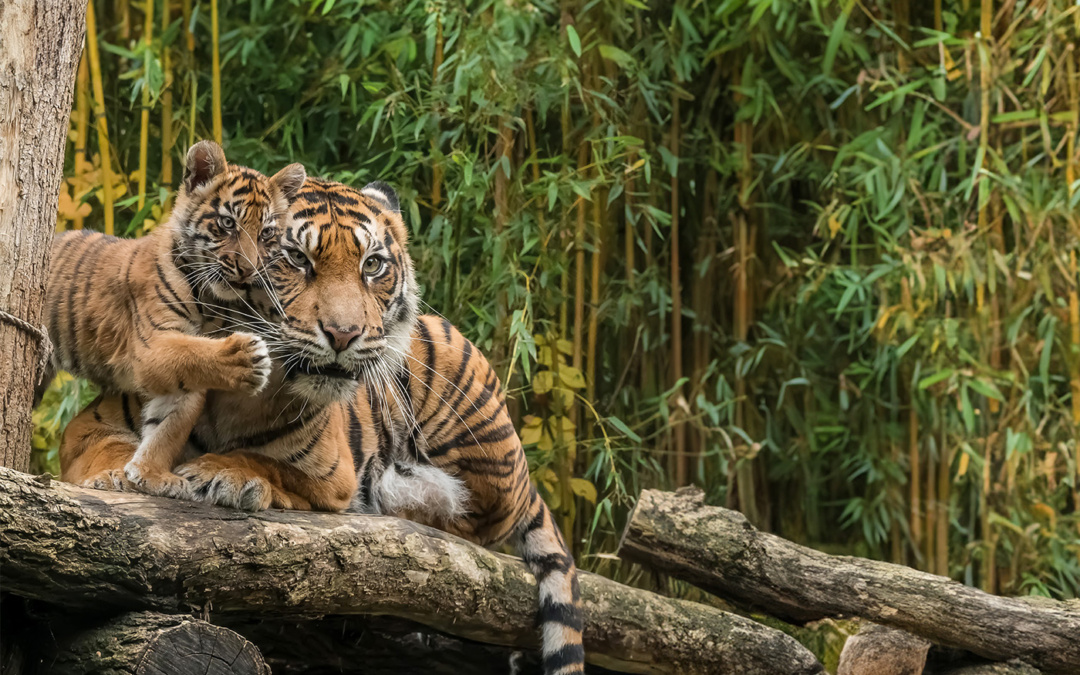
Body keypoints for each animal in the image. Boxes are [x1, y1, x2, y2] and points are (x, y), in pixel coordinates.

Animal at [60, 179, 587, 673]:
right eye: (295, 258)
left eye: (372, 265)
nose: (343, 334)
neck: (237, 394)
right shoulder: (87, 425)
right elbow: (103, 449)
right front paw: (114, 476)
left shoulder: (335, 478)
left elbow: (275, 467)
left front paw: (226, 474)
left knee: (470, 524)